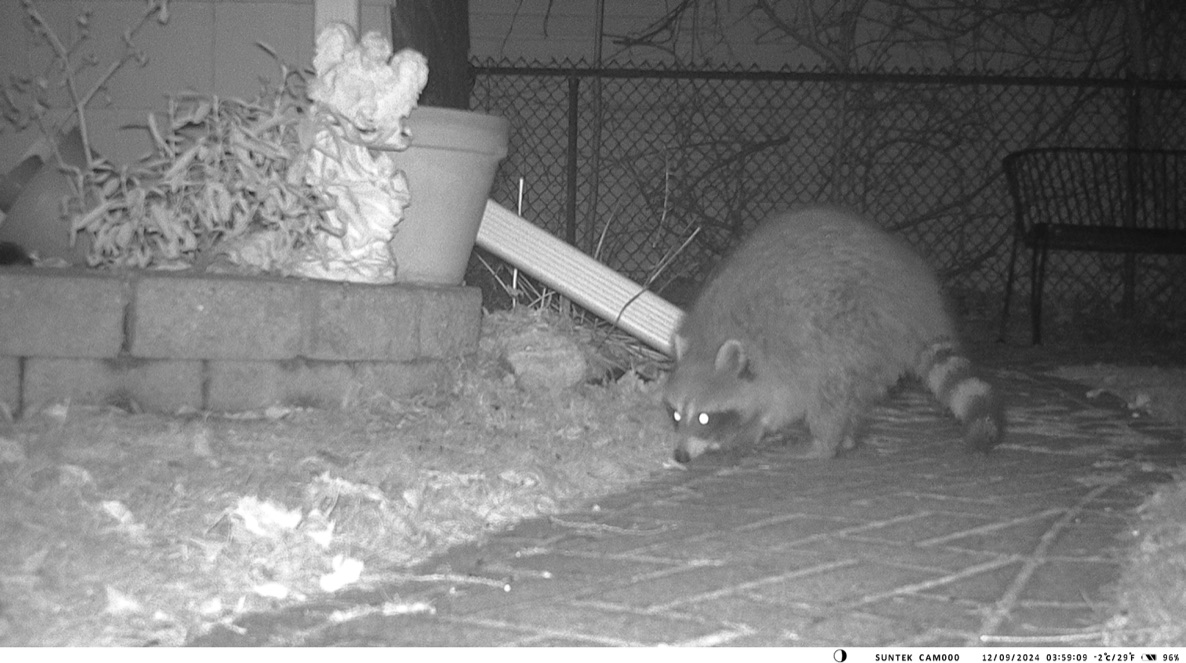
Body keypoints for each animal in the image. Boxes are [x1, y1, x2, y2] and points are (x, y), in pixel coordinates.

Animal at [663, 206, 1003, 463]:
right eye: (676, 416)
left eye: (704, 418)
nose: (680, 456)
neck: (713, 337)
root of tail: (919, 299)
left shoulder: (790, 348)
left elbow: (787, 399)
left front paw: (752, 429)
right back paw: (847, 435)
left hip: (859, 325)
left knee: (832, 386)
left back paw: (825, 443)